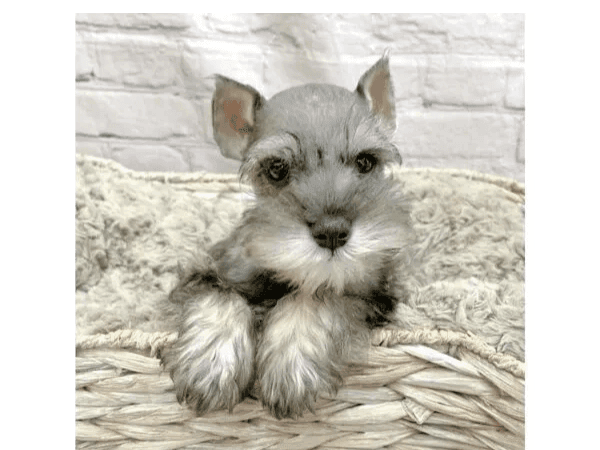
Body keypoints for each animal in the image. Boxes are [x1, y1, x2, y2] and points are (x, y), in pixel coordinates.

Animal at [164, 54, 414, 419]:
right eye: (277, 169)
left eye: (366, 161)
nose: (332, 232)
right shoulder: (206, 273)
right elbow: (220, 295)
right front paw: (209, 365)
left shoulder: (373, 295)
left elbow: (317, 297)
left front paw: (290, 366)